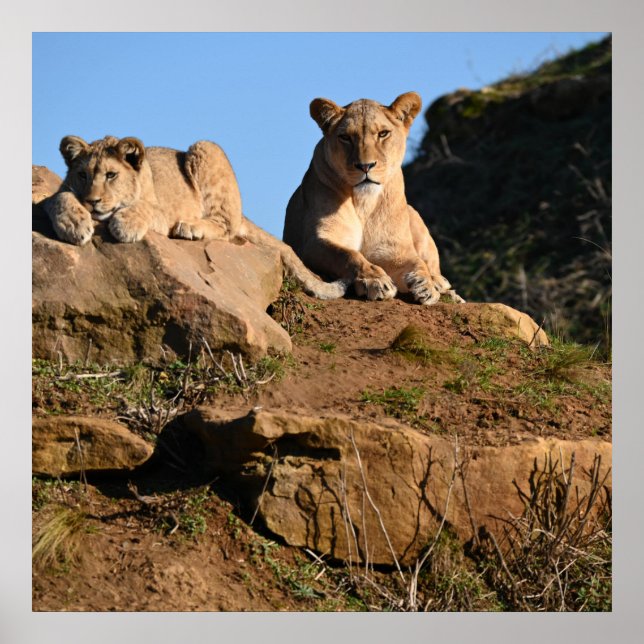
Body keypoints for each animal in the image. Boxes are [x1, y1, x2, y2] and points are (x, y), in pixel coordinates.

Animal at [42, 135, 346, 300]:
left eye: (111, 175)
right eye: (82, 175)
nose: (92, 202)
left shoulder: (161, 211)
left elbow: (143, 208)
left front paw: (124, 224)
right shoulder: (61, 192)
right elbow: (59, 197)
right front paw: (74, 225)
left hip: (207, 148)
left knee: (226, 226)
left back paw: (189, 226)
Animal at [283, 92, 463, 305]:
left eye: (383, 133)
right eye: (345, 137)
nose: (365, 166)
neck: (364, 203)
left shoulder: (394, 249)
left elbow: (417, 262)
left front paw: (426, 285)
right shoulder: (315, 242)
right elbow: (349, 255)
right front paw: (376, 281)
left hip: (414, 215)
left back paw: (442, 286)